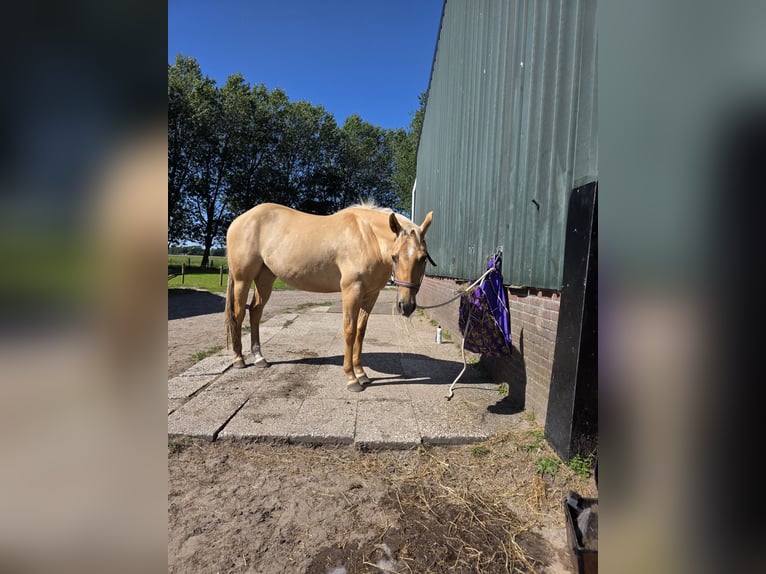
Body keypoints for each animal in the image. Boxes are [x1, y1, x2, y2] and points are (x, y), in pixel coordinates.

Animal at [224, 202, 435, 392]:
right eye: (395, 257)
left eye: (423, 258)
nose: (406, 306)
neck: (368, 238)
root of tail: (239, 220)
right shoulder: (351, 290)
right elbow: (349, 331)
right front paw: (352, 378)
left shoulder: (370, 295)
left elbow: (360, 331)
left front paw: (361, 374)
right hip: (243, 279)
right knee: (238, 314)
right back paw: (239, 359)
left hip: (265, 278)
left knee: (255, 312)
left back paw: (259, 358)